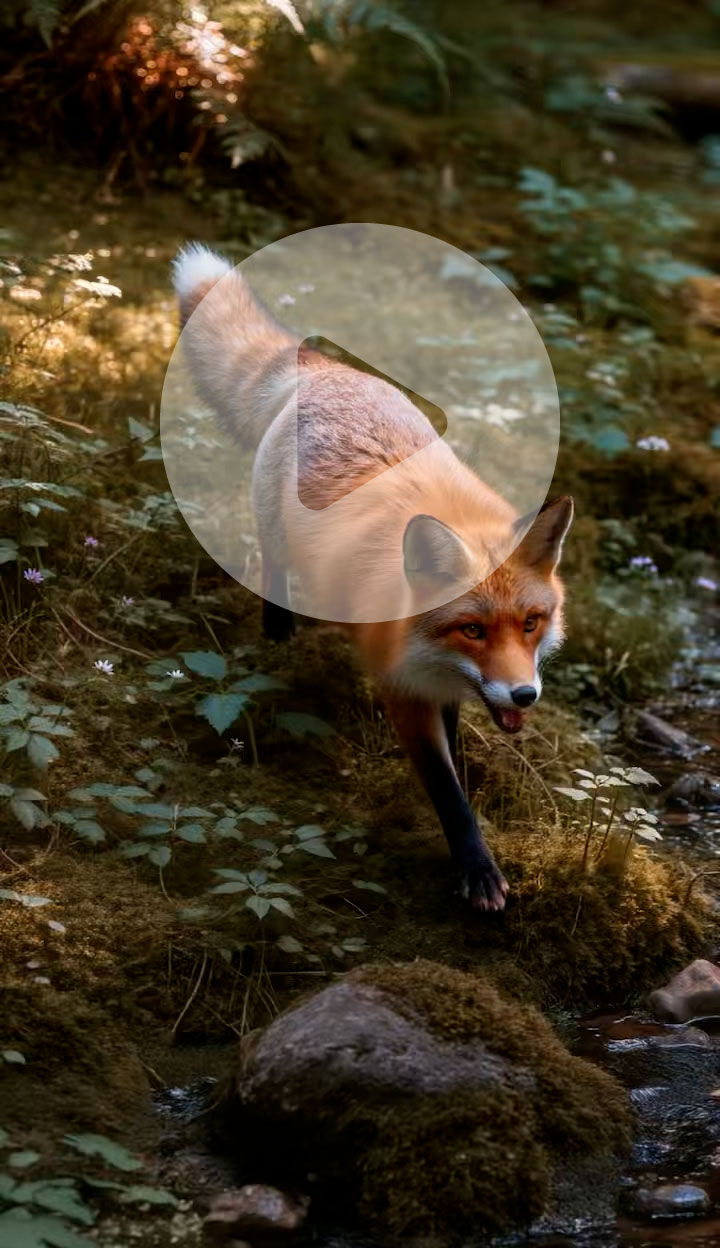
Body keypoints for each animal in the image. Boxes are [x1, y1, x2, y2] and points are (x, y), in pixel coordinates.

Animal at [172, 244, 573, 913]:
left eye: (531, 623)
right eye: (472, 629)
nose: (524, 696)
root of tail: (328, 370)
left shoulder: (442, 688)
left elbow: (456, 756)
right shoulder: (403, 690)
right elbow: (446, 791)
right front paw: (476, 869)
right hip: (274, 540)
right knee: (274, 578)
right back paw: (280, 638)